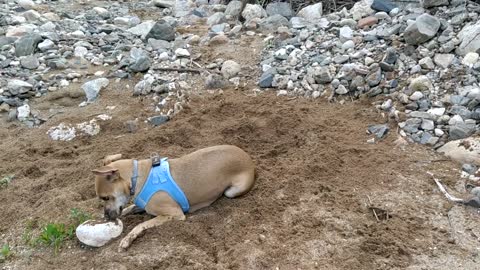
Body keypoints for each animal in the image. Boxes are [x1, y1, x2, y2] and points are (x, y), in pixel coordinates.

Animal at [90, 146, 255, 251]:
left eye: (105, 197)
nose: (107, 216)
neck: (136, 178)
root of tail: (247, 157)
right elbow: (130, 208)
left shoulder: (174, 214)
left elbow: (141, 224)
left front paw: (127, 239)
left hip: (232, 191)